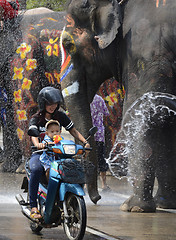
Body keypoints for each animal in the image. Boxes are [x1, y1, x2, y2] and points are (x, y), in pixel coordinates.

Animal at [61, 0, 176, 212]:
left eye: (68, 45)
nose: (96, 199)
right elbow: (164, 115)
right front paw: (165, 203)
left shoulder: (146, 51)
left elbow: (143, 110)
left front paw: (133, 208)